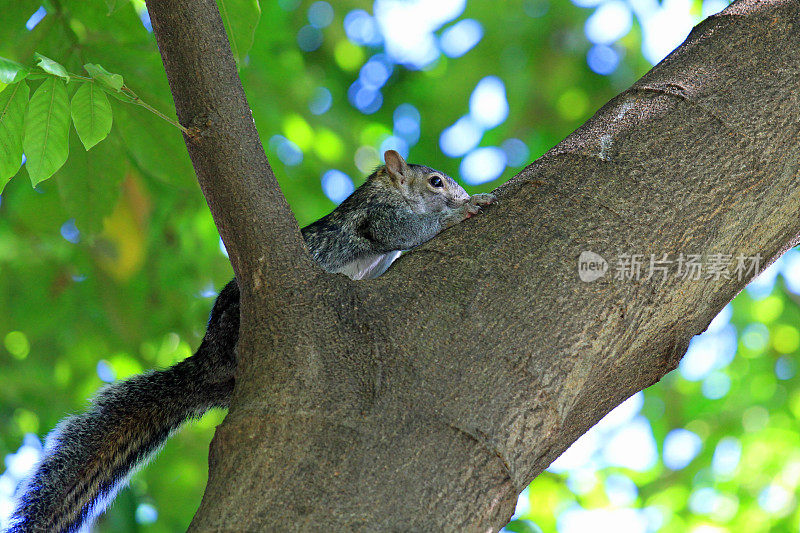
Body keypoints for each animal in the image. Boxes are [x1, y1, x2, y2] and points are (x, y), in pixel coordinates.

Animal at [7, 150, 494, 532]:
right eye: (435, 181)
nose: (458, 195)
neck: (385, 190)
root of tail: (206, 366)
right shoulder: (378, 216)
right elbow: (402, 233)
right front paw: (461, 211)